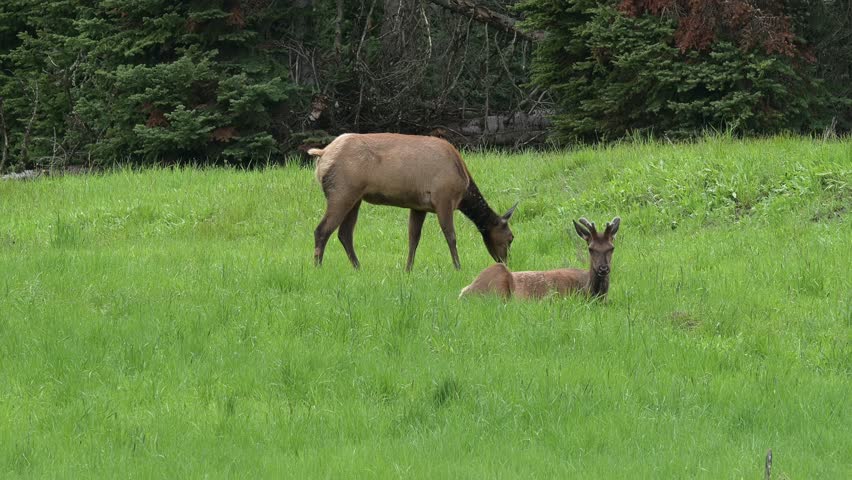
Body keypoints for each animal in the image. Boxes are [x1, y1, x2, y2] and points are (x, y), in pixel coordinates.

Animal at [307, 133, 517, 271]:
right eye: (510, 238)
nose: (506, 263)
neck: (463, 190)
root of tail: (322, 154)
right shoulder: (443, 198)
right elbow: (451, 235)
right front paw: (458, 266)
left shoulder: (418, 206)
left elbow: (413, 238)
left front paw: (408, 268)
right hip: (342, 192)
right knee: (322, 230)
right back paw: (318, 267)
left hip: (355, 197)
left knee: (344, 233)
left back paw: (358, 267)